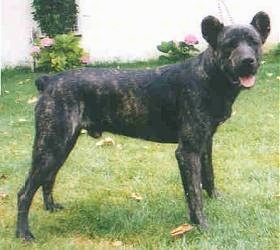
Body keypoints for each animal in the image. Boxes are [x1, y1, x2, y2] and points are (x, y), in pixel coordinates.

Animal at [15, 11, 270, 240]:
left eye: (254, 43)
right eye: (230, 45)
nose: (248, 61)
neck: (209, 75)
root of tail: (49, 81)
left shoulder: (205, 142)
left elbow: (208, 176)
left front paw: (215, 198)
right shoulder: (187, 152)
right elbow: (194, 193)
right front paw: (201, 225)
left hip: (60, 146)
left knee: (48, 179)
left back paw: (51, 207)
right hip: (51, 146)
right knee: (24, 192)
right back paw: (23, 233)